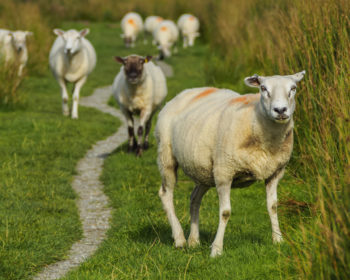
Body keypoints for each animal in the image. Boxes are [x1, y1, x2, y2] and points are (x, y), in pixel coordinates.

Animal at [156, 71, 306, 258]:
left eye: (293, 88)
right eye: (263, 88)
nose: (280, 110)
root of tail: (185, 93)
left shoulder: (275, 172)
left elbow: (272, 206)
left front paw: (278, 240)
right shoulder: (224, 172)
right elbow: (225, 212)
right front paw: (216, 249)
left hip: (204, 170)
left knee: (194, 198)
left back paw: (194, 240)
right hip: (167, 156)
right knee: (166, 194)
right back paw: (179, 239)